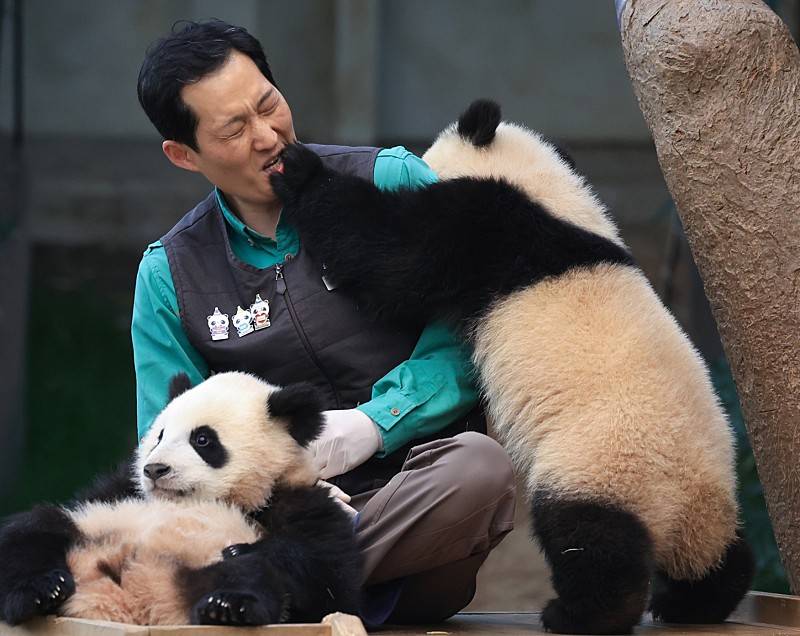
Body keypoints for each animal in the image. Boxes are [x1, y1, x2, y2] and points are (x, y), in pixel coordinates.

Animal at [0, 372, 360, 628]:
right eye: (159, 435)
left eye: (203, 439)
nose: (155, 469)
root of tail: (133, 604)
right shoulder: (117, 490)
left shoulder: (298, 501)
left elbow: (331, 584)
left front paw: (250, 553)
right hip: (88, 528)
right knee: (35, 532)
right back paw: (40, 591)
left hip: (206, 558)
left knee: (251, 572)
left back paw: (226, 606)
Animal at [268, 99, 756, 636]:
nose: (399, 161)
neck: (549, 194)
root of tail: (680, 503)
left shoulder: (484, 229)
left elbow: (387, 251)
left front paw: (300, 170)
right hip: (707, 499)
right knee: (717, 555)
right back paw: (698, 601)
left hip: (602, 463)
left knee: (591, 540)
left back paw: (581, 613)